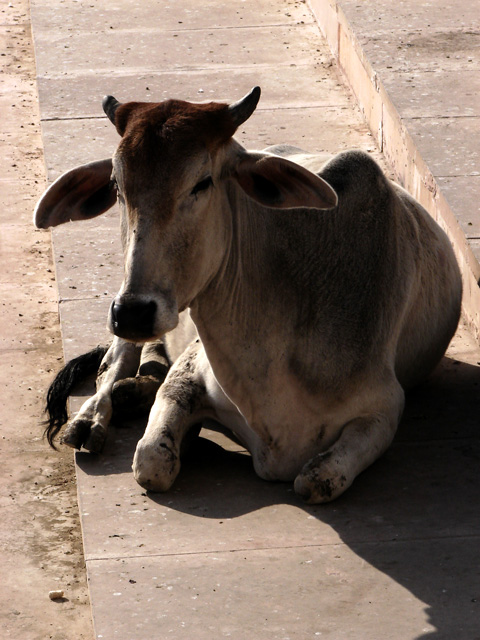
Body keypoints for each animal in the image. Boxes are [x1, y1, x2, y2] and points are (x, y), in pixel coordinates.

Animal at [34, 87, 462, 503]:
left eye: (202, 182)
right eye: (117, 186)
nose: (134, 312)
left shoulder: (385, 407)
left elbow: (317, 480)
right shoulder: (188, 368)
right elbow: (151, 462)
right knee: (113, 363)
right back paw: (93, 417)